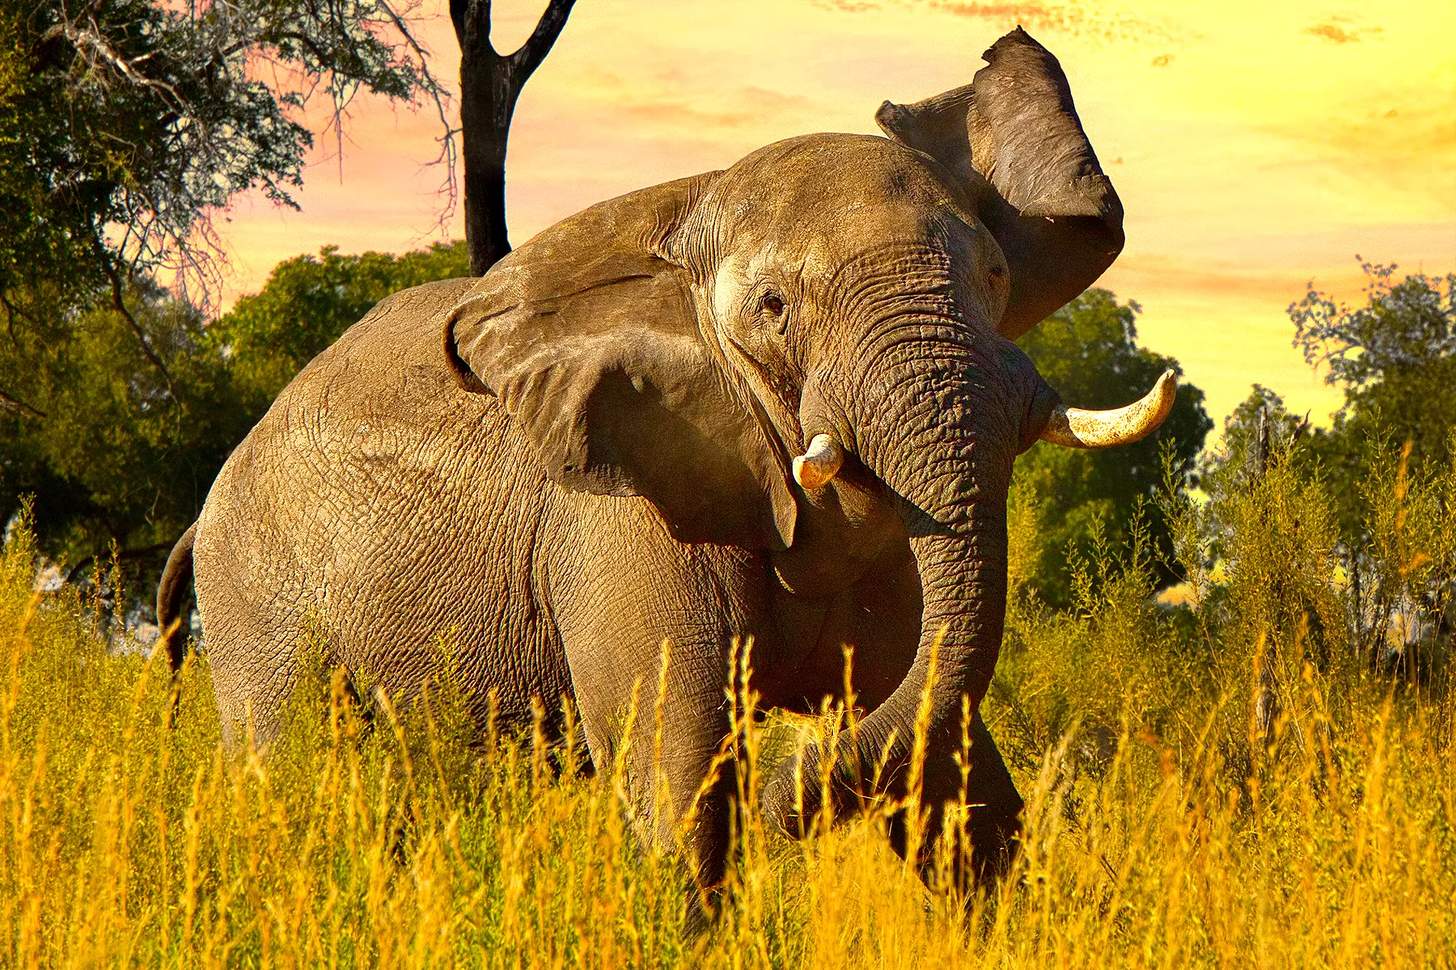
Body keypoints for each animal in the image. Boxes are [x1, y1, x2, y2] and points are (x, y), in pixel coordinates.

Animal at [157, 28, 1176, 892]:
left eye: (996, 276)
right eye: (772, 308)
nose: (789, 801)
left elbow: (945, 763)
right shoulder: (620, 515)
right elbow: (678, 785)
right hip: (257, 602)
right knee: (292, 780)